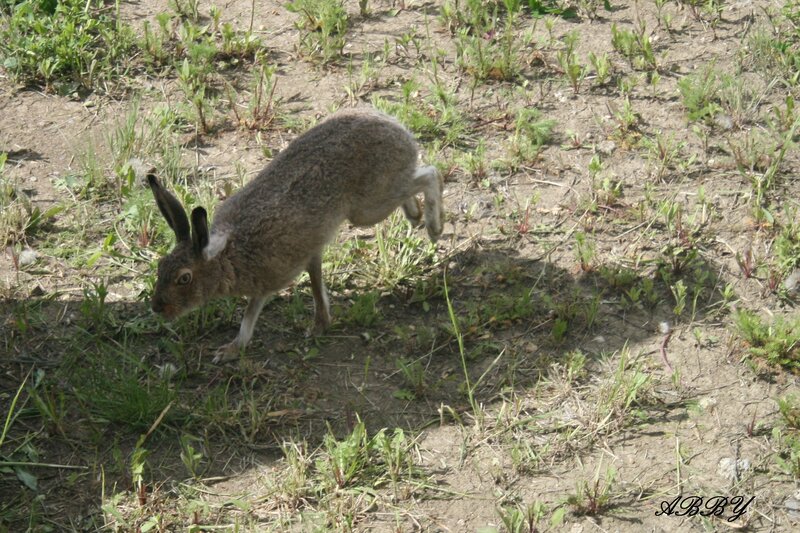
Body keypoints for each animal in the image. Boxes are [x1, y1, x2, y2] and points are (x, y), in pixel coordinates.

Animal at [147, 107, 443, 363]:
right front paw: (321, 323)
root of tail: (396, 127)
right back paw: (415, 215)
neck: (228, 255)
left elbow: (249, 318)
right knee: (413, 180)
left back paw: (433, 226)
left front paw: (231, 349)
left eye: (184, 278)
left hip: (368, 208)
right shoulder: (308, 254)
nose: (157, 308)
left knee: (429, 173)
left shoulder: (271, 279)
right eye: (160, 267)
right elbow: (316, 286)